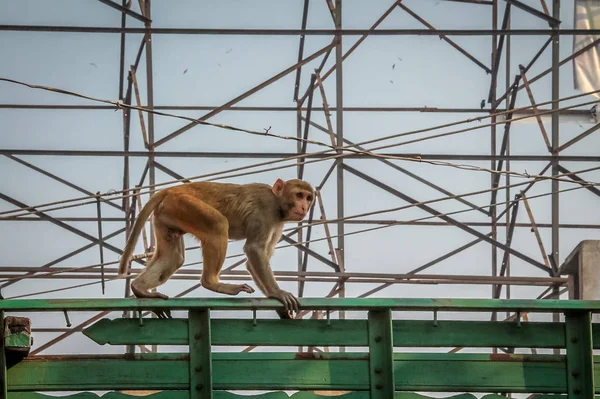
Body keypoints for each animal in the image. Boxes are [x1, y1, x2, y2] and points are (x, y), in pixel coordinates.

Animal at [117, 178, 314, 318]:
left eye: (308, 198)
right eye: (299, 195)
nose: (304, 207)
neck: (276, 202)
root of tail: (172, 189)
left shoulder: (278, 224)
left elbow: (253, 261)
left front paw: (279, 308)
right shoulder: (265, 211)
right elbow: (254, 250)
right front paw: (278, 293)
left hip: (167, 214)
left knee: (173, 257)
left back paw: (139, 288)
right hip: (184, 204)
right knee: (218, 225)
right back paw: (212, 282)